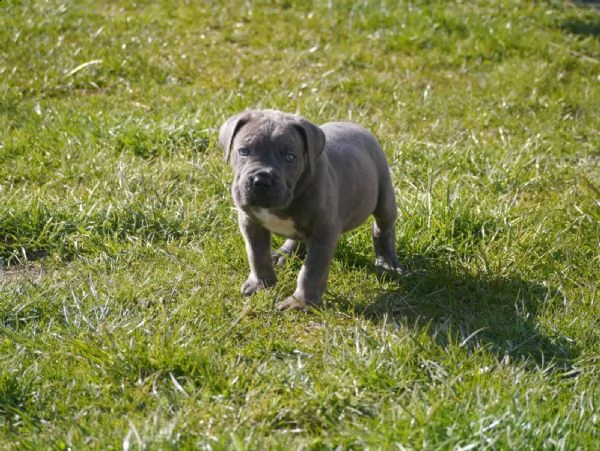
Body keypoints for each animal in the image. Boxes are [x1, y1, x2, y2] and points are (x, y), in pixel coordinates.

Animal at [218, 109, 406, 310]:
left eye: (290, 157)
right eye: (243, 151)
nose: (261, 180)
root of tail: (358, 126)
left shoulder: (323, 232)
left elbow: (311, 270)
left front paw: (300, 302)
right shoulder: (250, 222)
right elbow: (256, 254)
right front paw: (261, 284)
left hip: (384, 195)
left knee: (383, 228)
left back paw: (387, 263)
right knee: (297, 236)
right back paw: (285, 253)